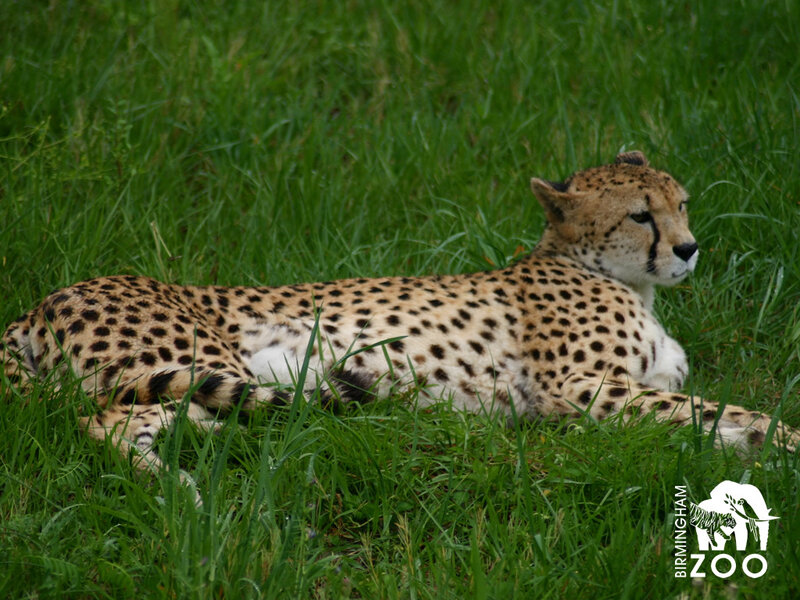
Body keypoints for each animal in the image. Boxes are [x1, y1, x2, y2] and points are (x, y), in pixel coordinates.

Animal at [3, 151, 797, 474]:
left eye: (681, 202)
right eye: (640, 215)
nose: (689, 248)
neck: (621, 278)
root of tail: (42, 301)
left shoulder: (622, 393)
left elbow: (703, 413)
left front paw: (738, 449)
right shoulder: (585, 391)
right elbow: (729, 412)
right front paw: (777, 443)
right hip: (201, 363)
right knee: (106, 422)